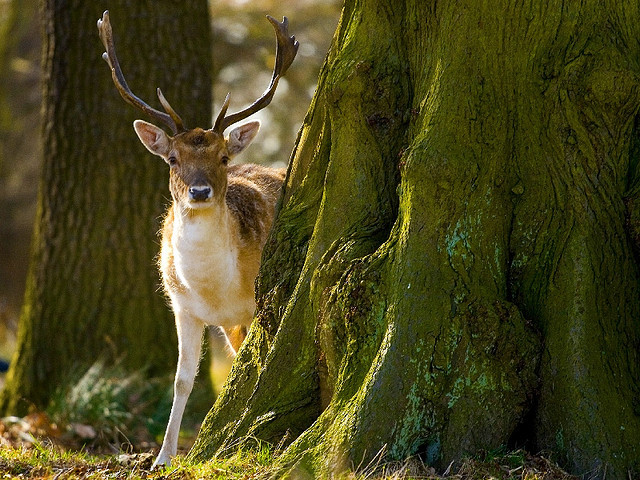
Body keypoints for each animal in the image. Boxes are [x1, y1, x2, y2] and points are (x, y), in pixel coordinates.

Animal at [96, 11, 298, 468]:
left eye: (222, 158)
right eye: (173, 159)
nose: (201, 191)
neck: (215, 290)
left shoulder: (259, 302)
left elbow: (253, 366)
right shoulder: (181, 306)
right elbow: (181, 379)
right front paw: (163, 457)